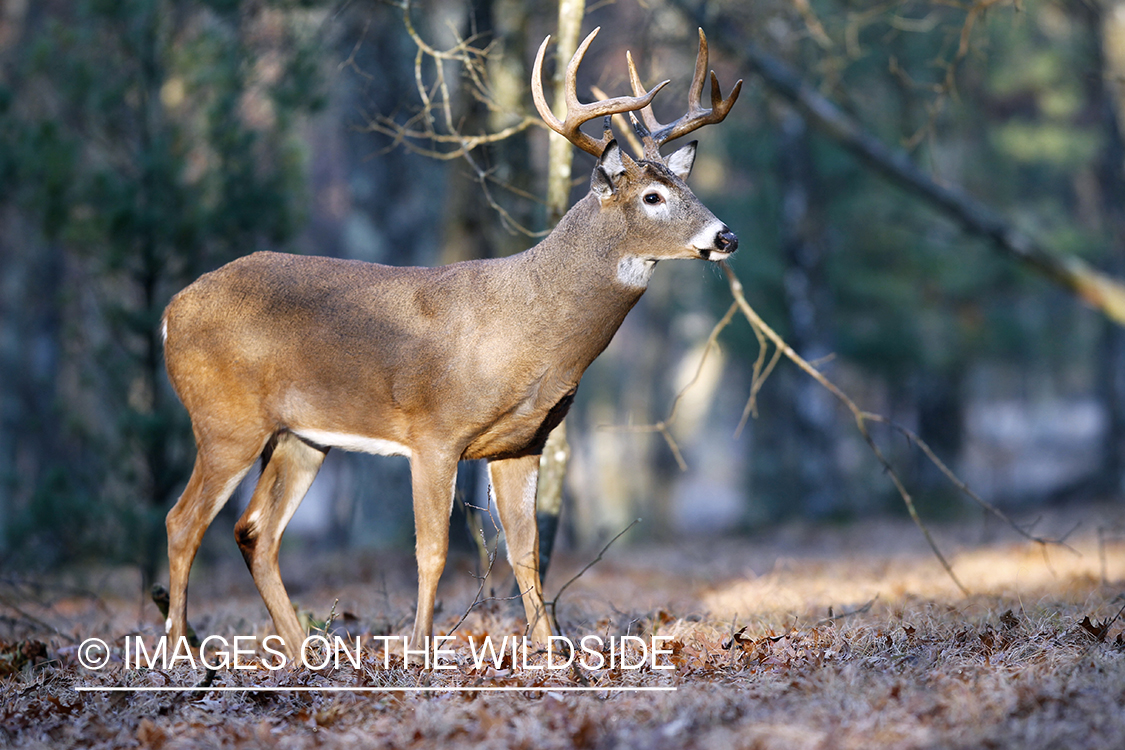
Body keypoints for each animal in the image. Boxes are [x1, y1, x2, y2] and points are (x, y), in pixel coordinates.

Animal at [158, 27, 738, 661]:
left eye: (686, 185)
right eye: (653, 197)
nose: (725, 236)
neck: (532, 332)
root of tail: (170, 311)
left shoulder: (523, 442)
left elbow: (526, 552)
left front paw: (551, 656)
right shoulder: (434, 433)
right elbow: (431, 551)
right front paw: (417, 653)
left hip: (300, 435)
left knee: (255, 532)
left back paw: (304, 654)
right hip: (225, 420)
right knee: (182, 523)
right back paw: (177, 654)